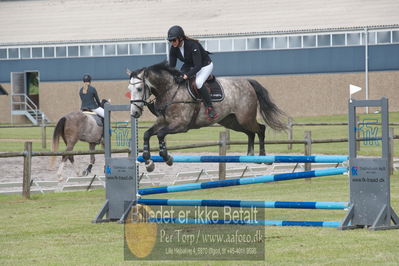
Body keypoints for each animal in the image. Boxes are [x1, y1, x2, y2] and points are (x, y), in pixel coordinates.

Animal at [128, 61, 288, 171]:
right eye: (129, 89)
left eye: (139, 88)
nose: (134, 113)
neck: (170, 90)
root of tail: (247, 82)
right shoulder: (163, 122)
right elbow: (147, 134)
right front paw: (148, 161)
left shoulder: (181, 125)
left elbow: (161, 134)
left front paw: (167, 157)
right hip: (232, 121)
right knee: (250, 133)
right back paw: (250, 155)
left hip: (245, 118)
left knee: (260, 129)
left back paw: (263, 157)